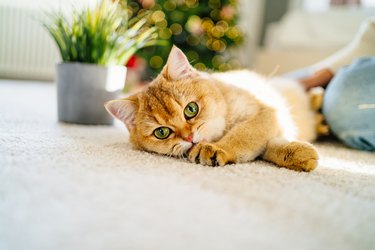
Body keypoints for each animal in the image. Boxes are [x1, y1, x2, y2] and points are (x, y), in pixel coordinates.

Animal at [106, 46, 320, 171]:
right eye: (162, 132)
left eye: (191, 109)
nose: (189, 138)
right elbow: (266, 146)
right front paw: (298, 155)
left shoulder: (265, 113)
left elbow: (244, 134)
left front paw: (217, 148)